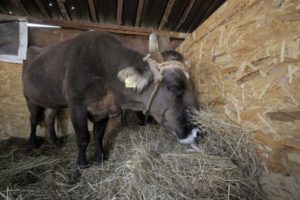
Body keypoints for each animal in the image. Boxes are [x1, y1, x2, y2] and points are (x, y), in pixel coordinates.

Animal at [22, 31, 203, 168]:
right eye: (175, 86)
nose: (197, 132)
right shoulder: (77, 104)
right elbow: (83, 138)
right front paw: (81, 165)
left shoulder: (103, 109)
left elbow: (98, 135)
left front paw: (100, 159)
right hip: (29, 97)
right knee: (33, 120)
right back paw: (32, 143)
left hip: (52, 100)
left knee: (49, 116)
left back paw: (54, 140)